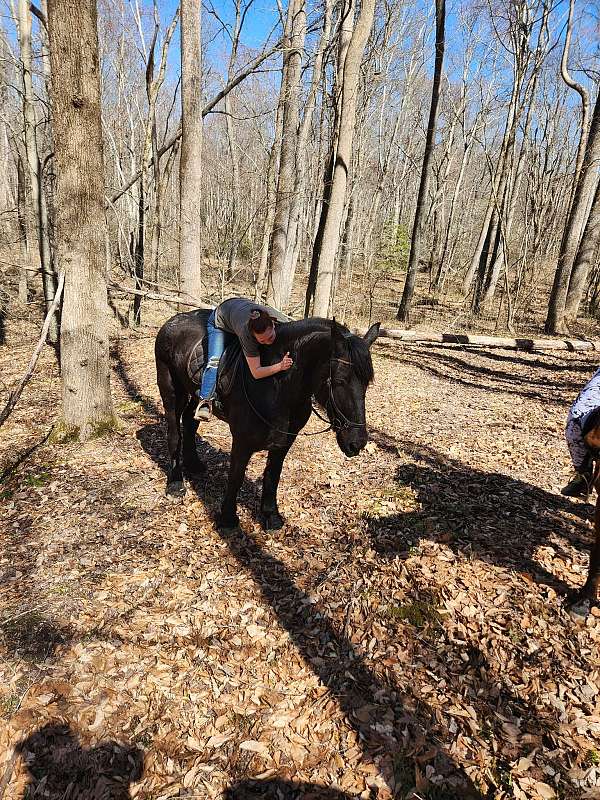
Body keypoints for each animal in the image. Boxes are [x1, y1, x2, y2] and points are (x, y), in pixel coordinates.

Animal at [155, 310, 380, 532]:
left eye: (367, 383)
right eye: (340, 381)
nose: (357, 443)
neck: (277, 387)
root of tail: (172, 321)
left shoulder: (284, 441)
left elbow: (273, 474)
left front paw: (271, 516)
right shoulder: (242, 441)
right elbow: (236, 476)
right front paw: (228, 520)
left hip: (194, 395)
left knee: (190, 422)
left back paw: (193, 464)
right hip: (172, 391)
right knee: (174, 432)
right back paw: (175, 483)